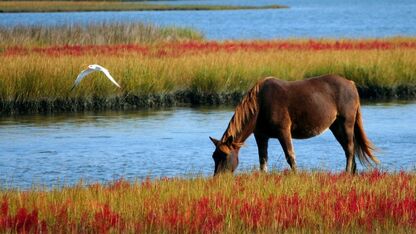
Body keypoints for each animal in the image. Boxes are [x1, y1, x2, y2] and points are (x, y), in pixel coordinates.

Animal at [210, 74, 378, 176]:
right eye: (214, 156)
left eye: (224, 156)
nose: (218, 178)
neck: (260, 105)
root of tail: (351, 83)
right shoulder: (261, 136)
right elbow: (263, 159)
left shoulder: (283, 132)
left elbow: (290, 156)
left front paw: (295, 175)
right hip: (335, 126)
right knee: (348, 148)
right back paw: (352, 173)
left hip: (346, 123)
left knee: (349, 148)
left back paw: (347, 172)